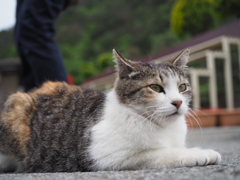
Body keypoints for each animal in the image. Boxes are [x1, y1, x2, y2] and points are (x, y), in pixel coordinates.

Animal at [0, 48, 221, 172]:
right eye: (156, 88)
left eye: (182, 87)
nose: (178, 102)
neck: (164, 128)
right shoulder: (109, 156)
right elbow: (162, 153)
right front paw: (200, 153)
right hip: (16, 106)